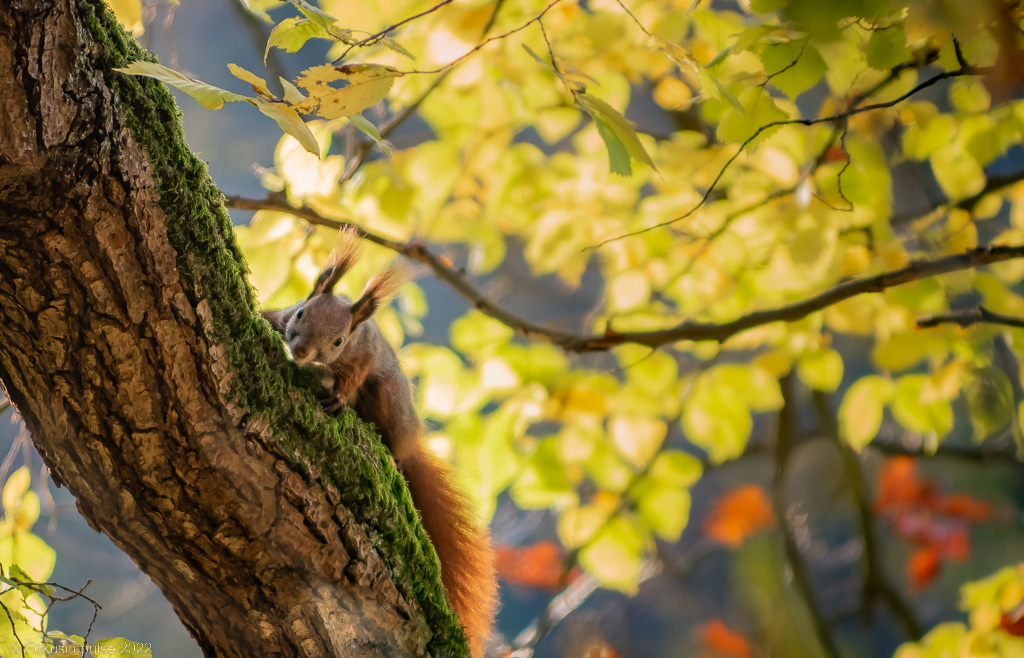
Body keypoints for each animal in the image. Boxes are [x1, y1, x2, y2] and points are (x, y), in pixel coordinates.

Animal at [262, 229, 497, 654]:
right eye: (302, 312)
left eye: (339, 340)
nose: (300, 351)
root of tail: (410, 443)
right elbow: (273, 316)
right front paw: (262, 317)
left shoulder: (363, 358)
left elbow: (351, 377)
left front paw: (337, 399)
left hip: (389, 399)